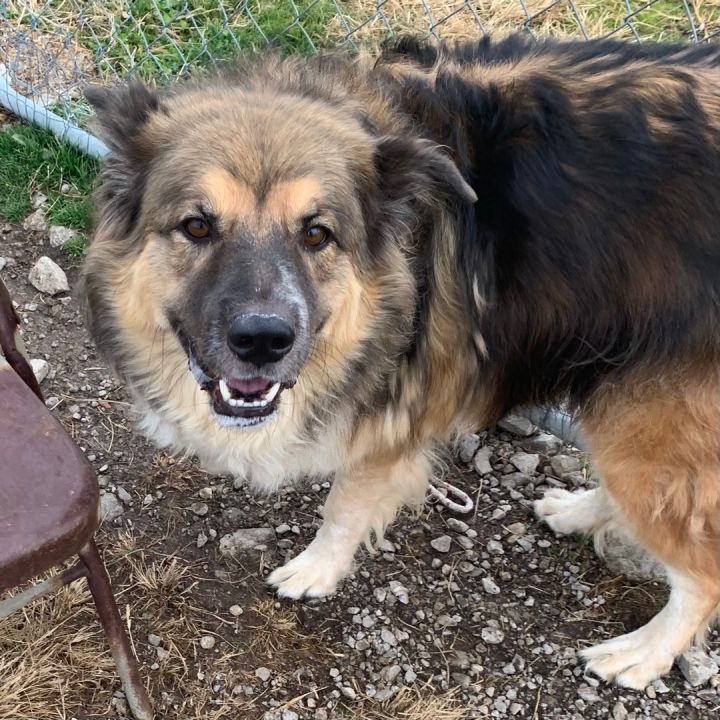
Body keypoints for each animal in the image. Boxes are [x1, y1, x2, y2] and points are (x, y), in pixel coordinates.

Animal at [81, 36, 720, 688]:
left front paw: (315, 571)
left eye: (316, 234)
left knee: (703, 572)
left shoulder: (390, 421)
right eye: (197, 225)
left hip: (650, 417)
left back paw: (643, 654)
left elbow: (344, 507)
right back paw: (576, 513)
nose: (263, 340)